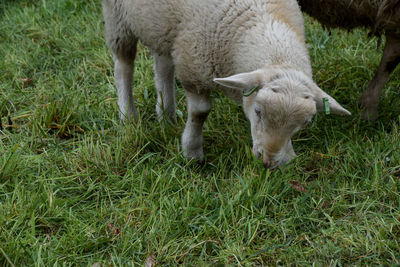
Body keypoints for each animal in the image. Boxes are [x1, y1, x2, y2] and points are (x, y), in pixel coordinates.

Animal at [103, 0, 350, 169]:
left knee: (162, 64)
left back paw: (166, 116)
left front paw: (287, 155)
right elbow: (200, 112)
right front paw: (192, 152)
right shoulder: (194, 65)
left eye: (305, 123)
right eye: (258, 111)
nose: (268, 162)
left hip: (163, 26)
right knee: (123, 65)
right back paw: (128, 116)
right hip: (117, 15)